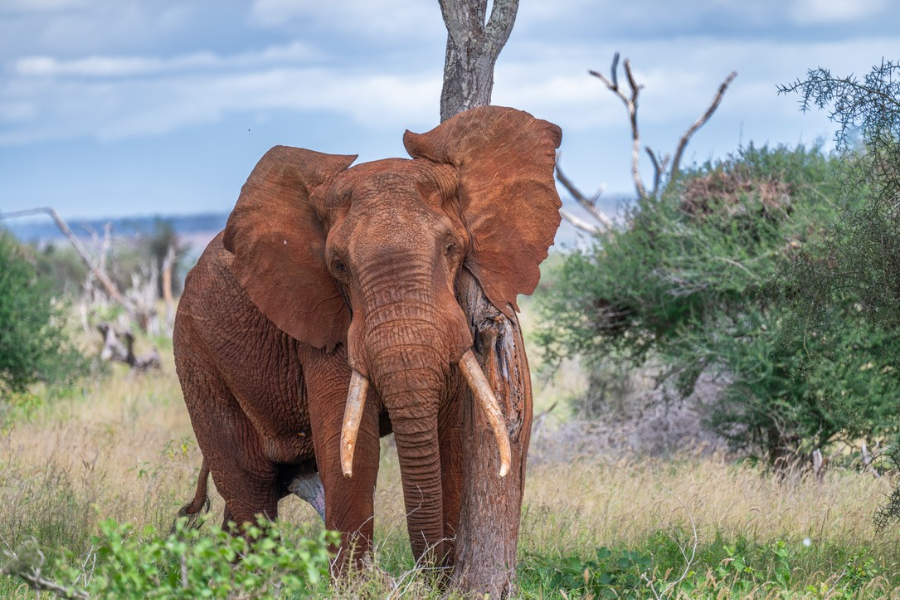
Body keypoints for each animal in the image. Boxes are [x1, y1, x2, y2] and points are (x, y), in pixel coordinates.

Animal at [172, 105, 560, 568]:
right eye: (338, 266)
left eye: (452, 248)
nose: (428, 573)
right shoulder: (324, 325)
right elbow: (351, 452)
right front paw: (354, 580)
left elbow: (451, 441)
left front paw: (442, 575)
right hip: (196, 358)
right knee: (250, 488)